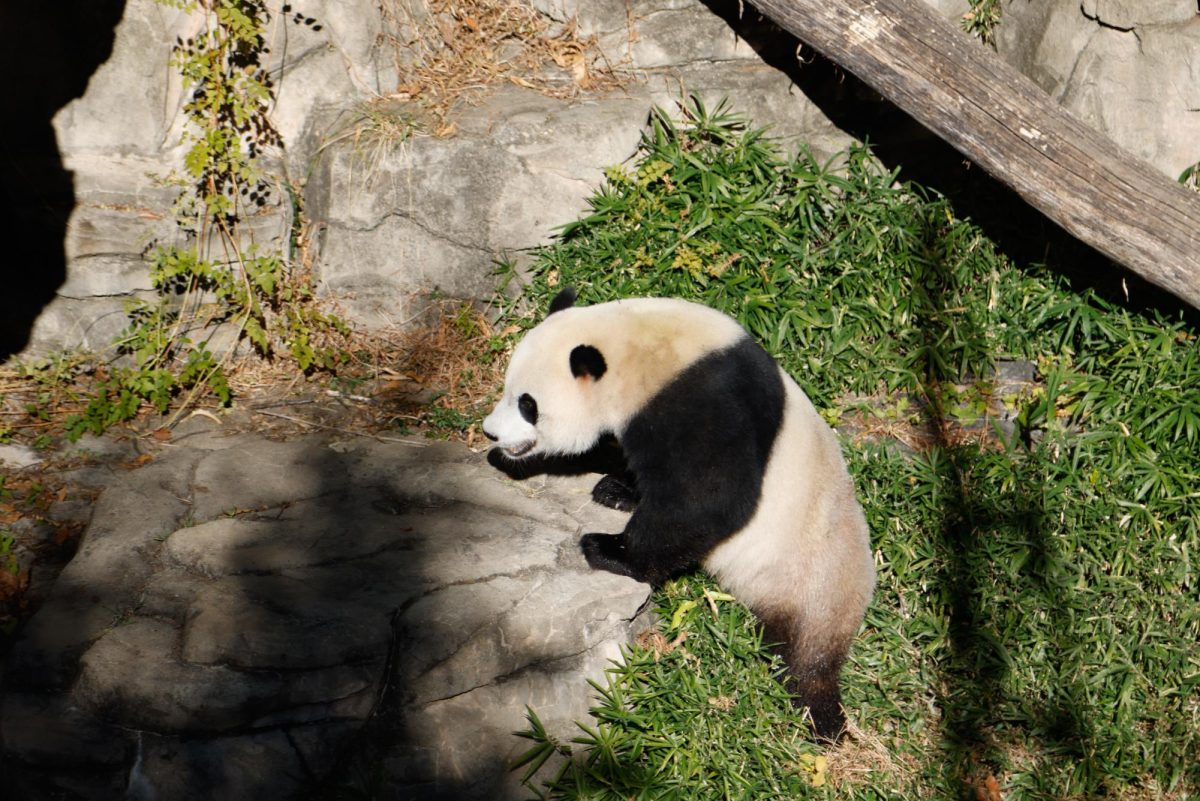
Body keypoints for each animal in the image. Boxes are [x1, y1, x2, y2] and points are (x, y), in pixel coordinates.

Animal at [482, 286, 878, 738]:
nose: (490, 433)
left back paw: (820, 715)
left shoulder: (698, 400)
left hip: (809, 579)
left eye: (527, 404)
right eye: (509, 389)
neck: (638, 347)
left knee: (808, 651)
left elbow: (710, 497)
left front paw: (610, 550)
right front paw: (617, 490)